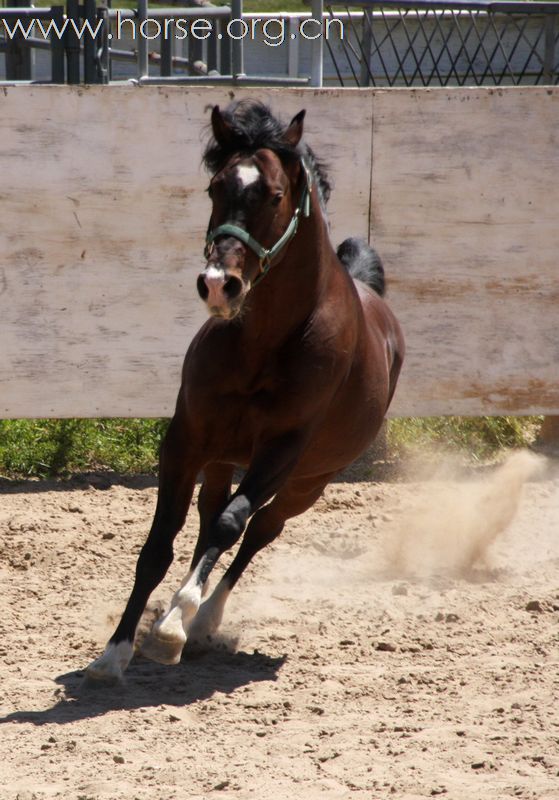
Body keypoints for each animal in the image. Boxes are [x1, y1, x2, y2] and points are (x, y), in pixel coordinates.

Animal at [86, 98, 402, 680]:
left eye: (275, 195)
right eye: (215, 188)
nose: (218, 284)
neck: (264, 342)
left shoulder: (282, 451)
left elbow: (232, 524)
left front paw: (174, 625)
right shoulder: (186, 441)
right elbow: (159, 544)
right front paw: (114, 652)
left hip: (309, 482)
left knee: (258, 529)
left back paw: (202, 620)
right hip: (221, 458)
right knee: (212, 513)